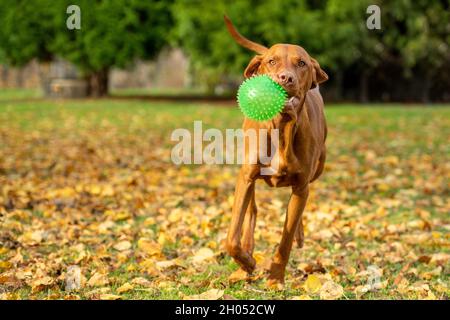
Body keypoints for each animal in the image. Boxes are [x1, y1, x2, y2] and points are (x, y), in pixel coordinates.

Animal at [224, 16, 326, 284]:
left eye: (301, 63)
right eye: (272, 61)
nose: (285, 78)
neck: (282, 128)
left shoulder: (301, 186)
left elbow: (285, 239)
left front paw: (276, 278)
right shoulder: (246, 176)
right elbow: (231, 239)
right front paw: (247, 263)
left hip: (318, 169)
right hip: (247, 175)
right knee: (252, 208)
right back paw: (248, 252)